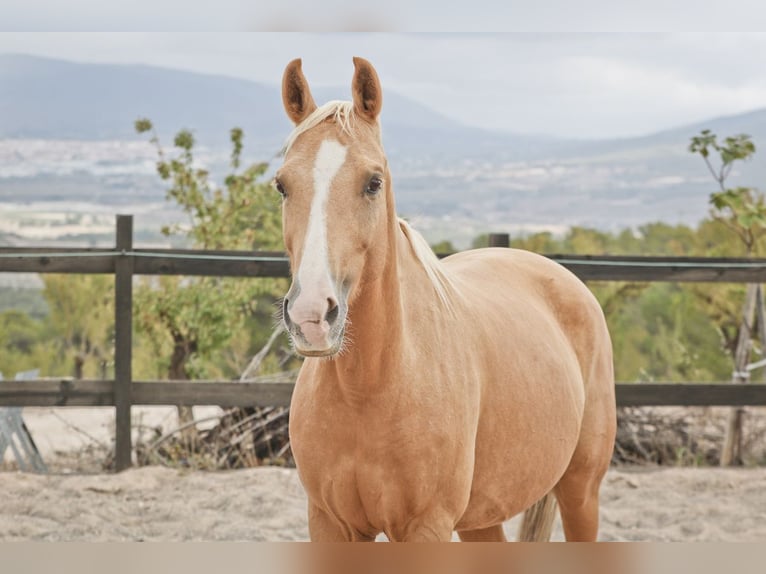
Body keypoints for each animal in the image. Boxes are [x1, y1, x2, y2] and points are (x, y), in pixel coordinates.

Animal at [276, 56, 616, 544]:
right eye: (282, 185)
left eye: (373, 182)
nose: (311, 316)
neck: (370, 388)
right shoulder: (330, 523)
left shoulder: (426, 526)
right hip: (484, 517)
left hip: (581, 490)